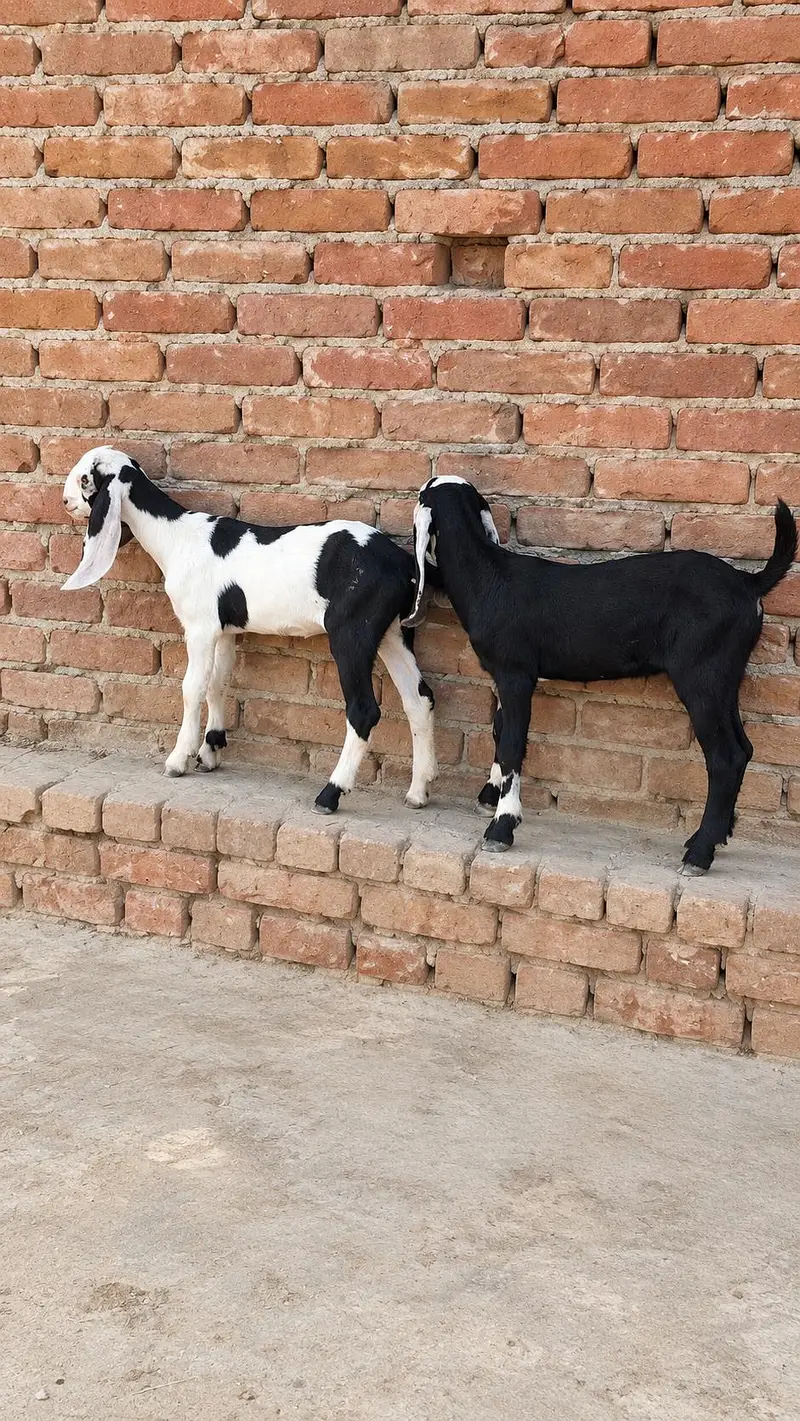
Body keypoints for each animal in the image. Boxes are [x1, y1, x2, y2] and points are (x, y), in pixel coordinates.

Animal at [61, 446, 437, 813]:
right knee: (419, 699)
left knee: (363, 710)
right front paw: (210, 750)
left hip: (352, 631)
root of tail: (403, 565)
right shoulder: (225, 629)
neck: (177, 537)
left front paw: (178, 759)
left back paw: (329, 794)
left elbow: (192, 688)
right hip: (392, 633)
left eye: (85, 478)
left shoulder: (200, 626)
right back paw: (418, 792)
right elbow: (217, 683)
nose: (65, 502)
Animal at [403, 475, 797, 874]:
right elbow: (499, 731)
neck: (488, 577)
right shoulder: (504, 675)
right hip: (724, 678)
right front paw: (489, 796)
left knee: (725, 757)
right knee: (744, 749)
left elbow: (512, 744)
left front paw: (502, 827)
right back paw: (714, 836)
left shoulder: (515, 674)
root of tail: (749, 584)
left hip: (701, 674)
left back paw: (699, 853)